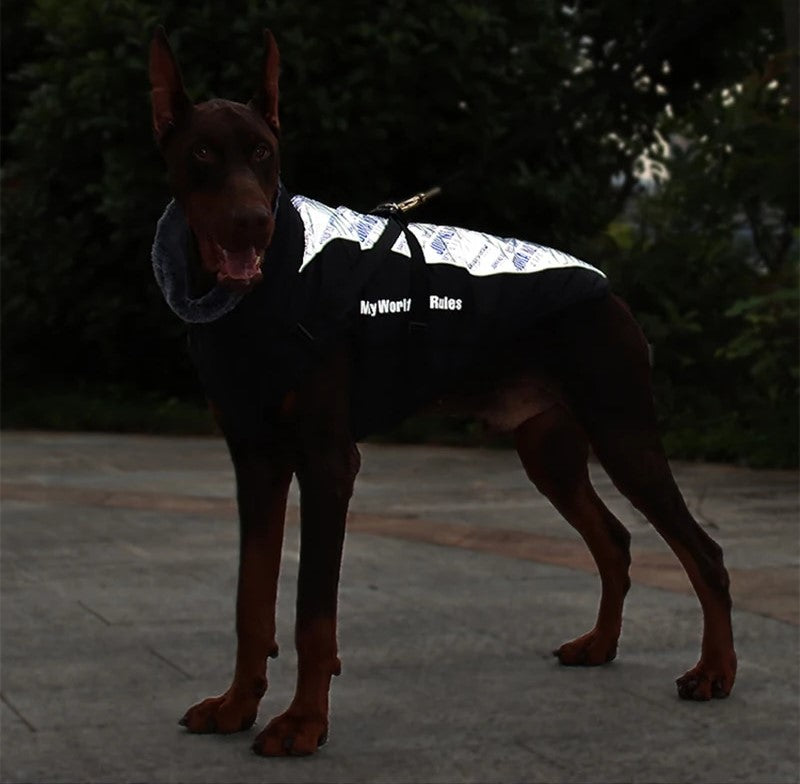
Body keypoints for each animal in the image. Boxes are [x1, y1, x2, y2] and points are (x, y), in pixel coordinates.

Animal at [147, 27, 736, 756]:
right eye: (202, 152)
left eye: (263, 152)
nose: (253, 222)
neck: (258, 297)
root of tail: (610, 292)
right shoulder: (254, 459)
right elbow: (249, 602)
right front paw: (236, 705)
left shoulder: (327, 462)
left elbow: (314, 612)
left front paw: (303, 723)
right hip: (550, 449)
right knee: (617, 541)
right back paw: (600, 644)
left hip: (623, 431)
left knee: (704, 553)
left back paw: (715, 671)